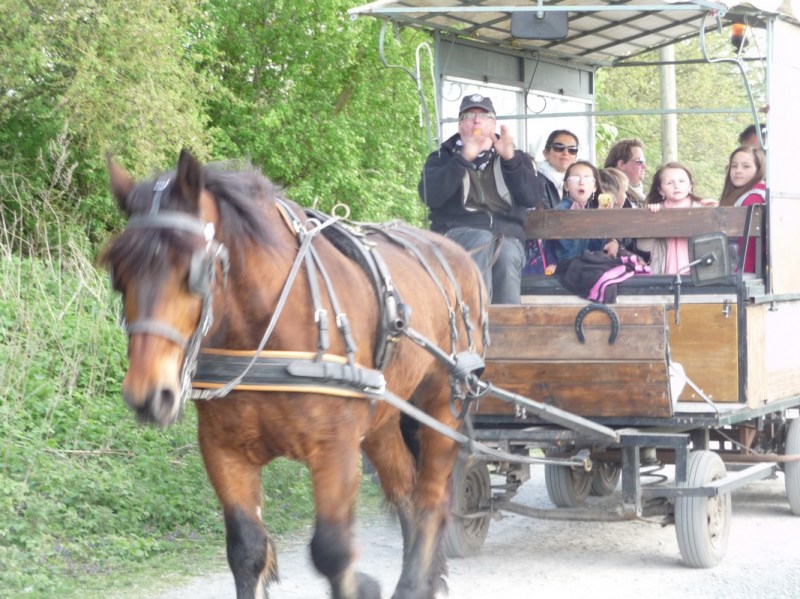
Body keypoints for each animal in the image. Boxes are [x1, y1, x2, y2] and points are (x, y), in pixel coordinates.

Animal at [100, 151, 488, 599]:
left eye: (193, 271)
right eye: (117, 272)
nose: (148, 394)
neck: (265, 332)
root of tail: (462, 255)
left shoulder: (335, 450)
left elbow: (332, 551)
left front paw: (363, 585)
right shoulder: (223, 449)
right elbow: (247, 550)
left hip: (442, 405)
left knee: (430, 499)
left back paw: (413, 584)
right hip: (382, 419)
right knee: (405, 491)